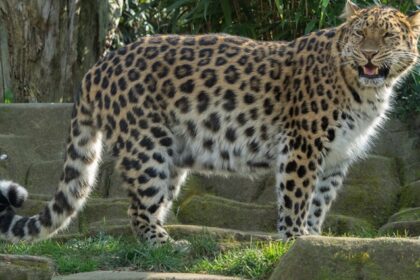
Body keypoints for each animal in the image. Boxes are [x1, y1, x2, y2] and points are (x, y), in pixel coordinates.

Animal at [0, 1, 420, 245]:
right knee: (138, 209)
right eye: (360, 34)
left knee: (151, 203)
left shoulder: (336, 156)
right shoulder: (302, 146)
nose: (369, 54)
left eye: (387, 35)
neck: (366, 90)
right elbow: (297, 198)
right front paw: (294, 239)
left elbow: (320, 201)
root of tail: (98, 67)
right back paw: (167, 245)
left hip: (171, 155)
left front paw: (314, 240)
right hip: (147, 146)